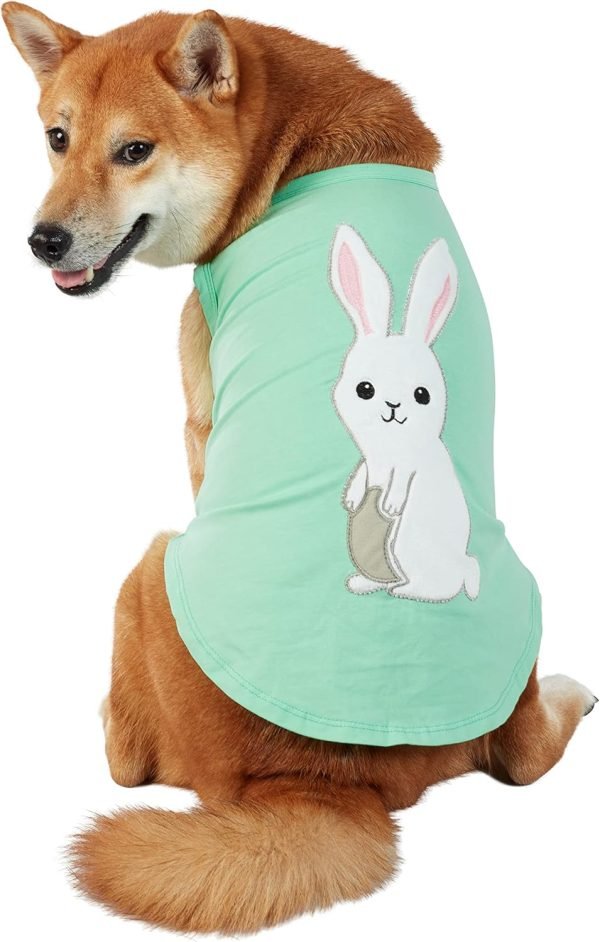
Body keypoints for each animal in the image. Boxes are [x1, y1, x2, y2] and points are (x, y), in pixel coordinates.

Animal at [329, 224, 480, 602]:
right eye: (364, 389)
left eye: (422, 395)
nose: (393, 407)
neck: (388, 443)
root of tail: (462, 567)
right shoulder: (369, 458)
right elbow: (362, 472)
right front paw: (353, 497)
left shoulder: (410, 462)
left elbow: (402, 477)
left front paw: (392, 504)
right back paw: (363, 582)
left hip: (407, 547)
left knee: (434, 587)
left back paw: (405, 590)